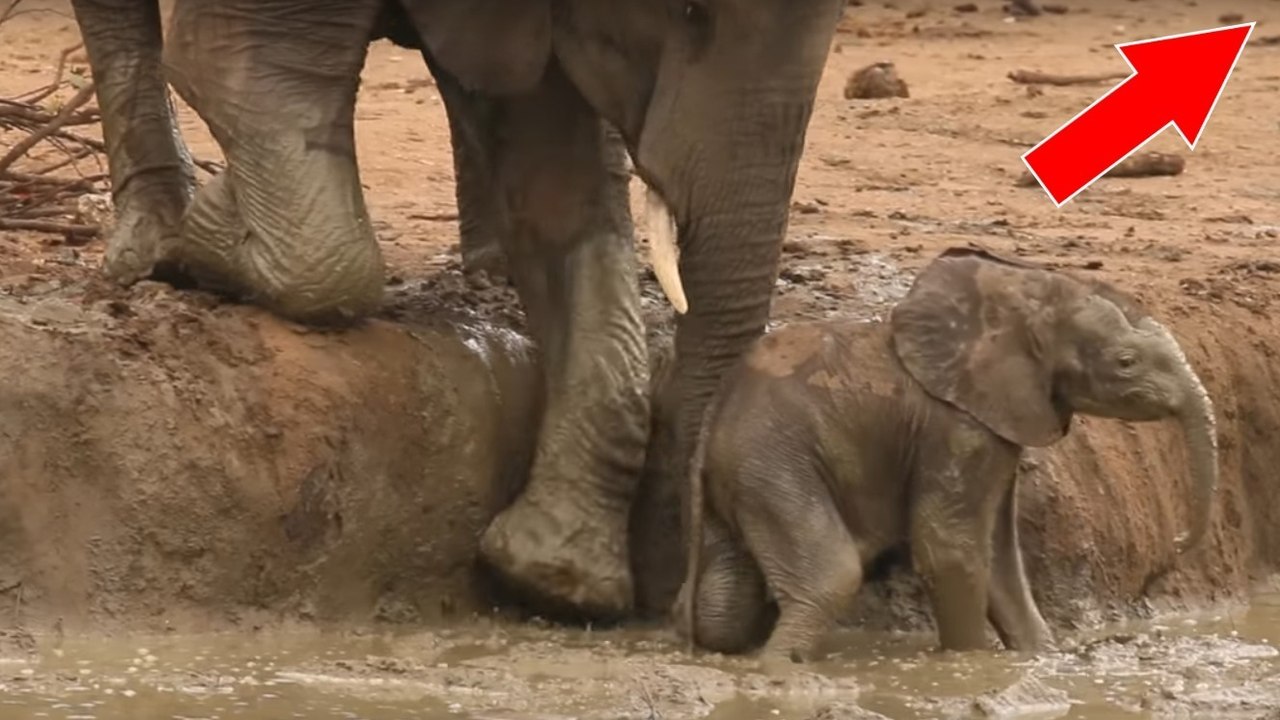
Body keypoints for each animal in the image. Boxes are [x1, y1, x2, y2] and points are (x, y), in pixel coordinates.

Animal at [64, 0, 844, 617]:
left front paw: (553, 578)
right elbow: (247, 81)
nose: (680, 604)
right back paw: (156, 243)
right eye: (689, 12)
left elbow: (556, 174)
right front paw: (209, 231)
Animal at [675, 244, 1213, 661]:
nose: (1174, 546)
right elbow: (950, 547)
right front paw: (973, 662)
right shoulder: (959, 426)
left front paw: (1039, 655)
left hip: (748, 475)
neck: (1020, 298)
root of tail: (715, 414)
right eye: (1126, 363)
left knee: (723, 604)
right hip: (776, 462)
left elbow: (998, 553)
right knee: (831, 576)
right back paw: (781, 667)